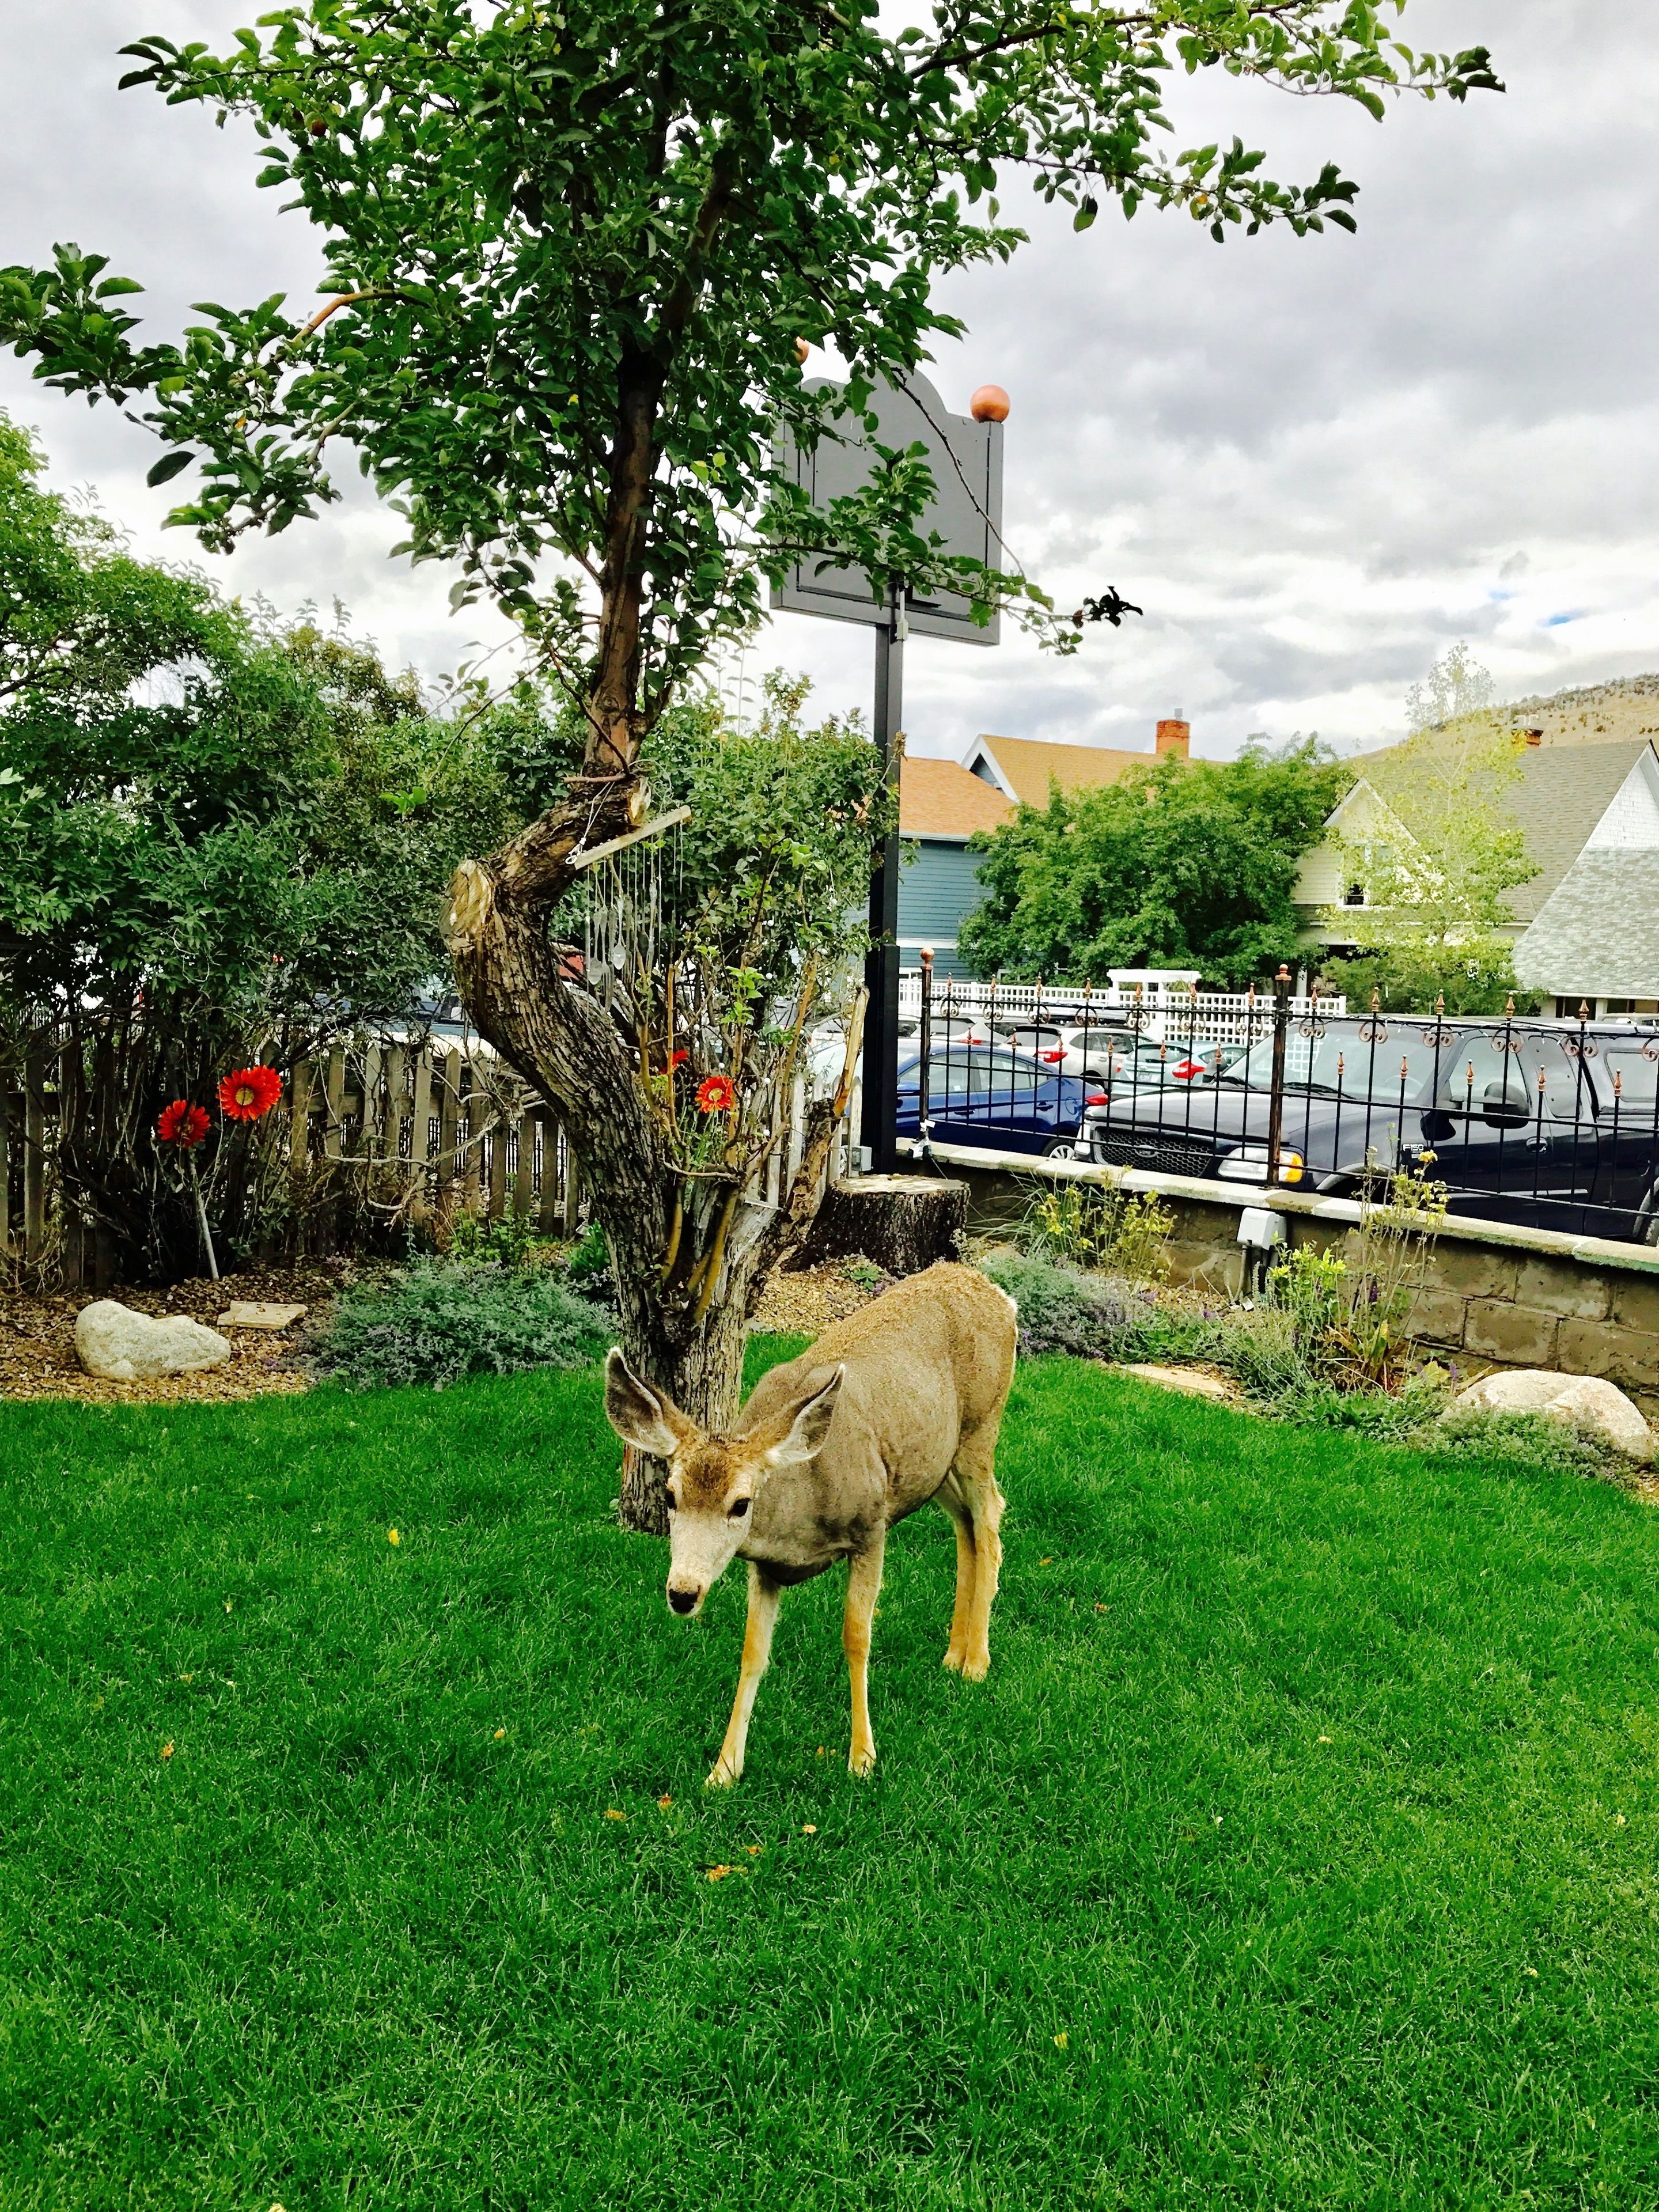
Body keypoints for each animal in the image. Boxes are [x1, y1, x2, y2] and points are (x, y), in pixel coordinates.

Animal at [603, 1261, 1017, 1788]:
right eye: (670, 1496)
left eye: (741, 1504)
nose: (683, 1593)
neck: (801, 1513)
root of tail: (1000, 1296)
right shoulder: (764, 1567)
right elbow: (752, 1652)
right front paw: (724, 1770)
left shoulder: (871, 1526)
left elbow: (857, 1637)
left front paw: (862, 1757)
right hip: (934, 1463)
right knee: (966, 1527)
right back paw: (953, 1655)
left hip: (981, 1429)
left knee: (991, 1519)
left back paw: (977, 1663)